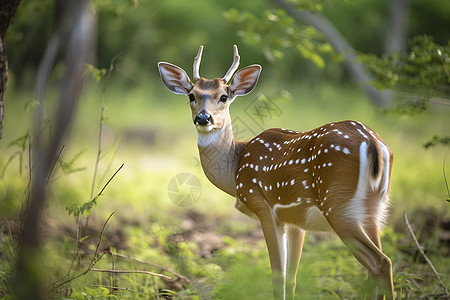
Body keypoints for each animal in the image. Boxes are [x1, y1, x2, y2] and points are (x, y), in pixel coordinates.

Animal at [157, 45, 394, 300]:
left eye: (223, 96)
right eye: (191, 95)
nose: (203, 117)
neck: (235, 167)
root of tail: (374, 144)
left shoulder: (263, 205)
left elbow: (278, 275)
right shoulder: (296, 220)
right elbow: (292, 277)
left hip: (339, 205)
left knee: (381, 262)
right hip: (374, 209)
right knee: (375, 267)